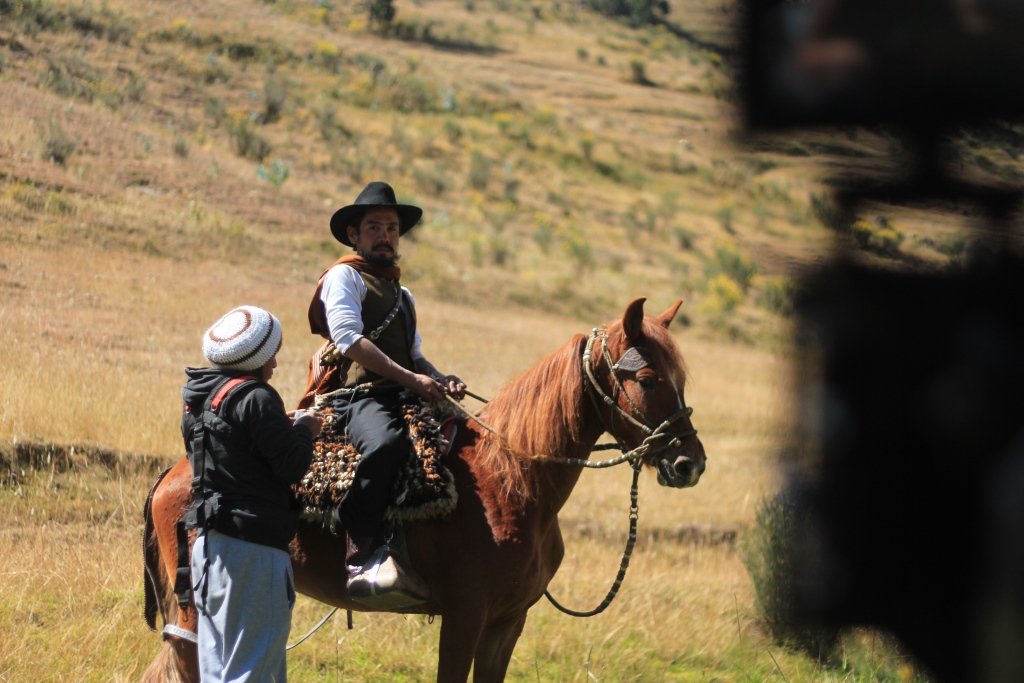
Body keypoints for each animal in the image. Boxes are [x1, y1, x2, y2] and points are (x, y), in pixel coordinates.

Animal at [142, 299, 704, 683]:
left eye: (678, 376)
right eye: (647, 379)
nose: (689, 462)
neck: (513, 477)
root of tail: (170, 476)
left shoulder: (507, 623)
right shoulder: (464, 616)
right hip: (196, 608)